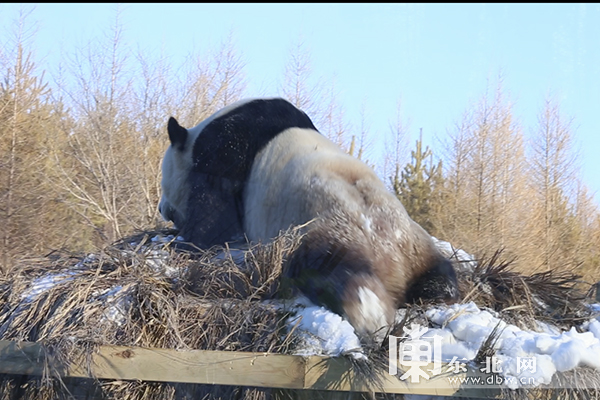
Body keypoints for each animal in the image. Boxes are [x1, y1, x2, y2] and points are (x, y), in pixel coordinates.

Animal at [159, 98, 460, 336]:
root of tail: (392, 255)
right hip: (416, 242)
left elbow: (212, 212)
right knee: (440, 274)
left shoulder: (222, 150)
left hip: (322, 227)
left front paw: (186, 242)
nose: (162, 209)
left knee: (331, 270)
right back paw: (439, 290)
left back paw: (365, 308)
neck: (195, 137)